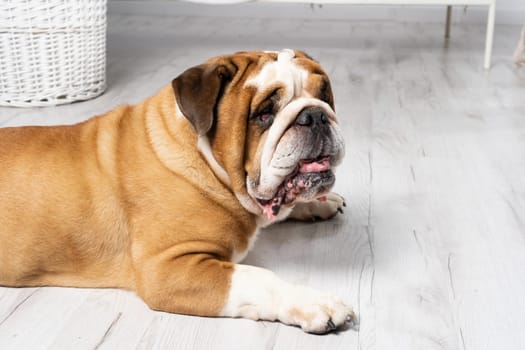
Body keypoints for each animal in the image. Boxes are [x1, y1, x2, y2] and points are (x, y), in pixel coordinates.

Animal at [0, 49, 356, 334]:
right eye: (264, 114)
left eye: (324, 95)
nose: (315, 114)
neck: (204, 158)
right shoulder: (168, 267)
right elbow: (257, 278)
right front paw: (314, 303)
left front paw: (319, 203)